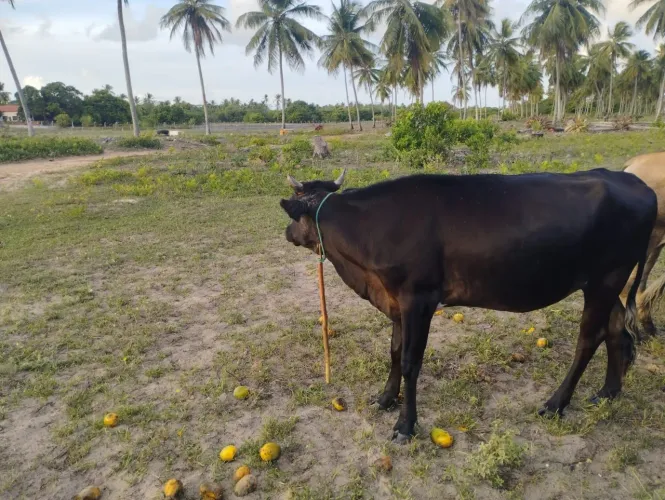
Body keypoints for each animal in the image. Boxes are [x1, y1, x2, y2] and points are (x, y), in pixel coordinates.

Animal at [279, 168, 657, 443]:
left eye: (295, 214)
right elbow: (394, 351)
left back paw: (555, 404)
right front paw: (385, 399)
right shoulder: (394, 298)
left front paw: (405, 425)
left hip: (606, 278)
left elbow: (410, 362)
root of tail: (634, 182)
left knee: (588, 340)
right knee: (615, 330)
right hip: (606, 282)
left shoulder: (419, 298)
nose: (287, 233)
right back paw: (607, 392)